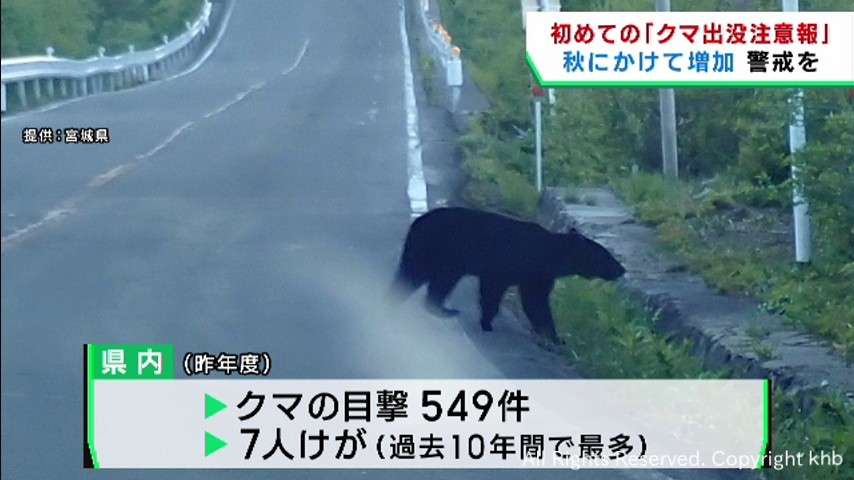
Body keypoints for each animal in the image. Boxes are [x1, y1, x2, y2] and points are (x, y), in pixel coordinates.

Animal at [388, 207, 626, 341]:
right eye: (606, 256)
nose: (622, 270)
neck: (549, 254)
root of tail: (416, 222)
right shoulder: (514, 264)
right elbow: (522, 298)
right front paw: (554, 336)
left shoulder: (538, 275)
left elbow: (533, 299)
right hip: (443, 250)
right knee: (438, 279)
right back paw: (442, 309)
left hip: (424, 251)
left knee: (411, 274)